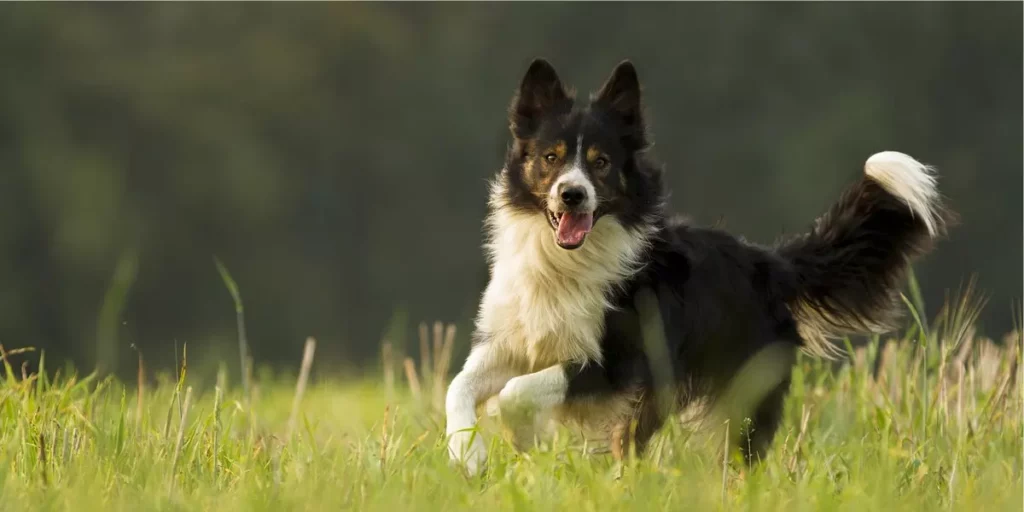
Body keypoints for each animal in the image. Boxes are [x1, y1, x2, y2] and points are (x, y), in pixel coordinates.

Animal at [444, 58, 954, 473]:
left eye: (601, 163)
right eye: (550, 157)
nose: (573, 194)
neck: (564, 262)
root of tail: (768, 262)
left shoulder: (617, 362)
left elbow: (515, 393)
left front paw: (521, 437)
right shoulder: (512, 340)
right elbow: (459, 385)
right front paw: (467, 455)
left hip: (735, 393)